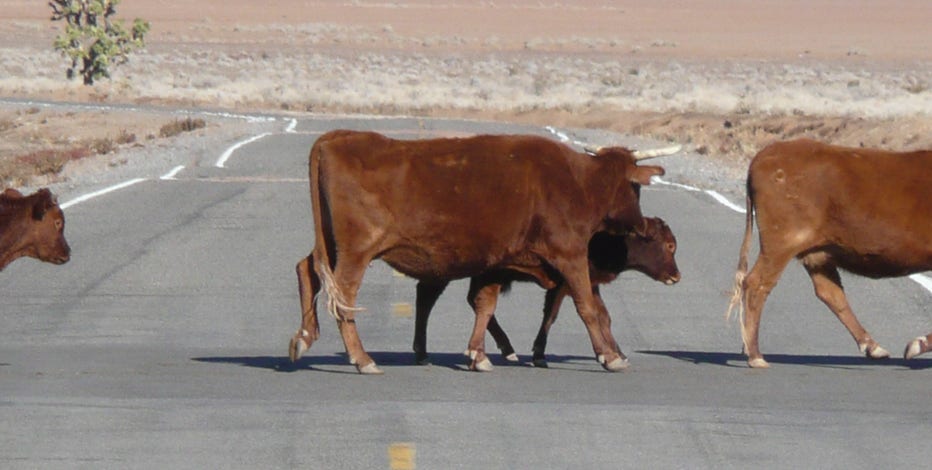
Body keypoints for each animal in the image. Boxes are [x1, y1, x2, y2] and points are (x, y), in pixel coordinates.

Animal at [412, 217, 681, 370]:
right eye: (669, 245)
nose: (676, 276)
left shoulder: (585, 283)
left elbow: (601, 315)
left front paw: (618, 353)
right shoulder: (568, 282)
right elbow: (558, 314)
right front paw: (541, 355)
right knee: (429, 297)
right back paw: (425, 353)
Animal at [726, 139, 932, 368]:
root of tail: (766, 154)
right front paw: (918, 345)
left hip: (815, 253)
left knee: (830, 293)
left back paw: (873, 347)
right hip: (781, 244)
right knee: (756, 284)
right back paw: (755, 355)